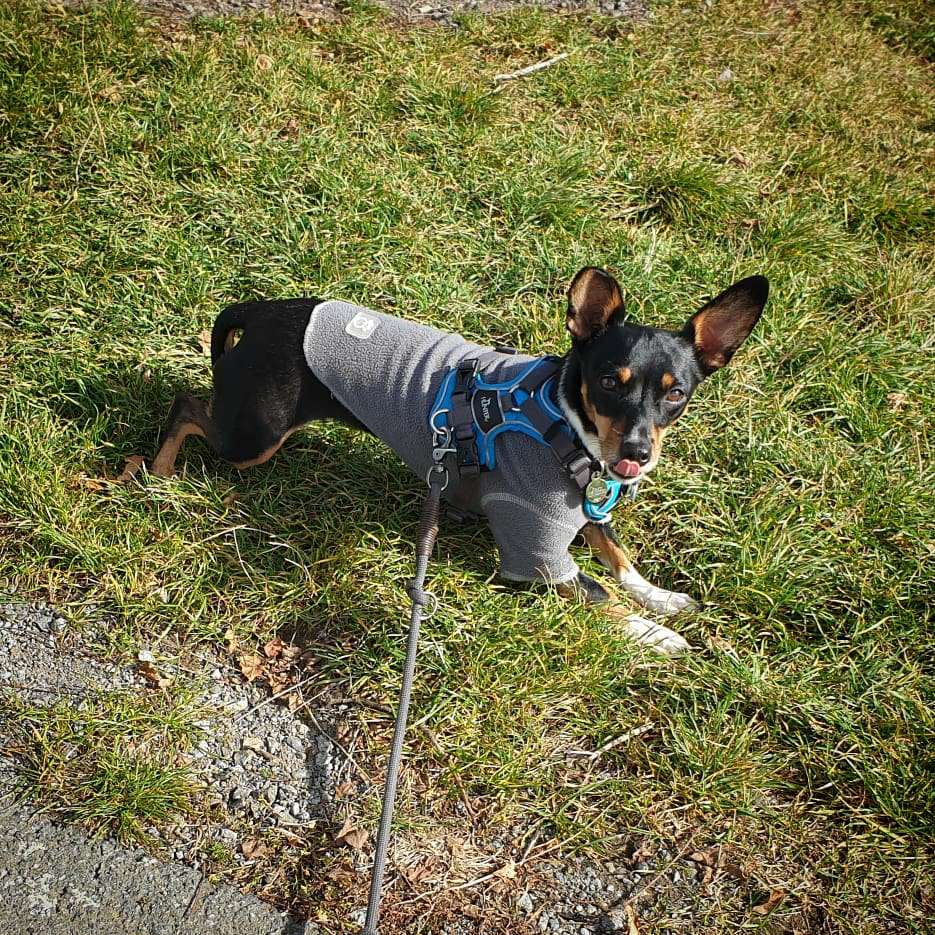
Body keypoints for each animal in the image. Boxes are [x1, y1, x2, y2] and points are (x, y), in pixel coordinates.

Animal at [154, 266, 768, 656]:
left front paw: (661, 600)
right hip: (253, 437)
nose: (637, 453)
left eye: (676, 393)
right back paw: (156, 474)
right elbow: (602, 593)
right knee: (185, 407)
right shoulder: (536, 559)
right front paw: (652, 634)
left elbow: (618, 558)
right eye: (607, 383)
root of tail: (260, 312)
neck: (563, 424)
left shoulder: (590, 511)